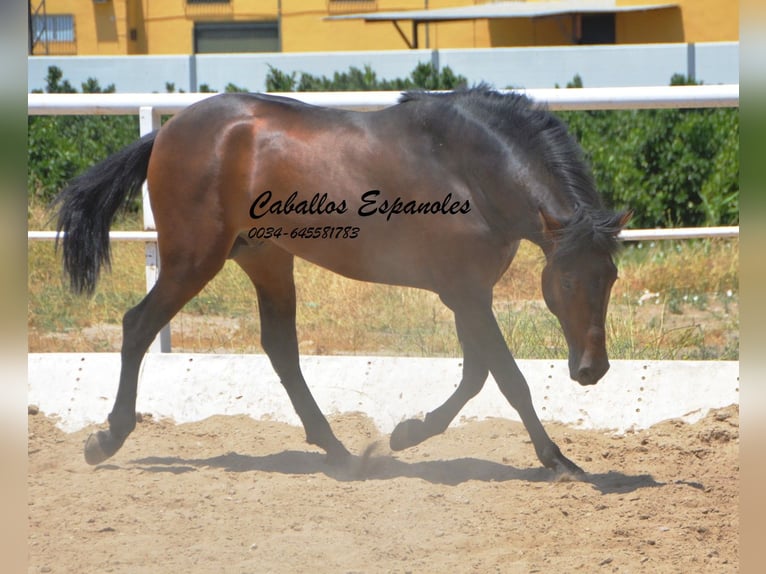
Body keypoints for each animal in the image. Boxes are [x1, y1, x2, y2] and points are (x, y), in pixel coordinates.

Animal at [54, 88, 632, 476]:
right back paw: (106, 440)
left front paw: (405, 435)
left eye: (610, 277)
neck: (469, 168)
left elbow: (475, 376)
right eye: (566, 281)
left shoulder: (470, 294)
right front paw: (556, 460)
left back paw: (341, 453)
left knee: (281, 349)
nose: (592, 370)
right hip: (192, 260)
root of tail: (167, 133)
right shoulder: (466, 293)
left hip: (265, 259)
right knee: (137, 326)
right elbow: (506, 379)